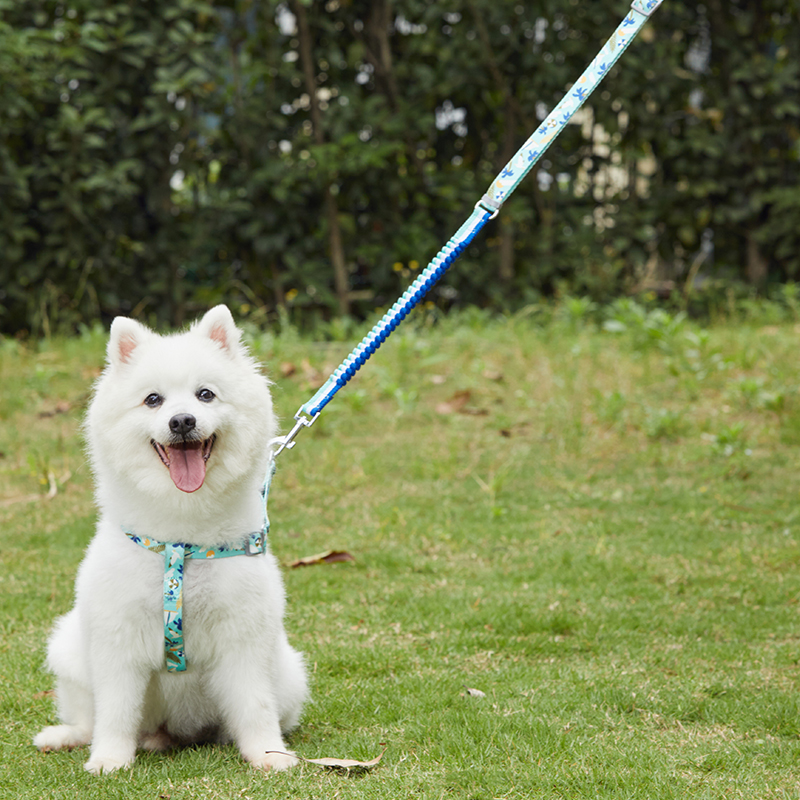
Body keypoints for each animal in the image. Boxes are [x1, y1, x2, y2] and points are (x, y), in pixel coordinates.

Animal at [32, 304, 306, 776]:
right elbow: (115, 713)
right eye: (153, 400)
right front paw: (109, 759)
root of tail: (174, 731)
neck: (181, 541)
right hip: (69, 651)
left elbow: (254, 707)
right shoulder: (117, 640)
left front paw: (269, 756)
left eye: (205, 395)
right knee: (88, 718)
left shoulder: (244, 638)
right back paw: (66, 737)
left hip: (289, 674)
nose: (182, 421)